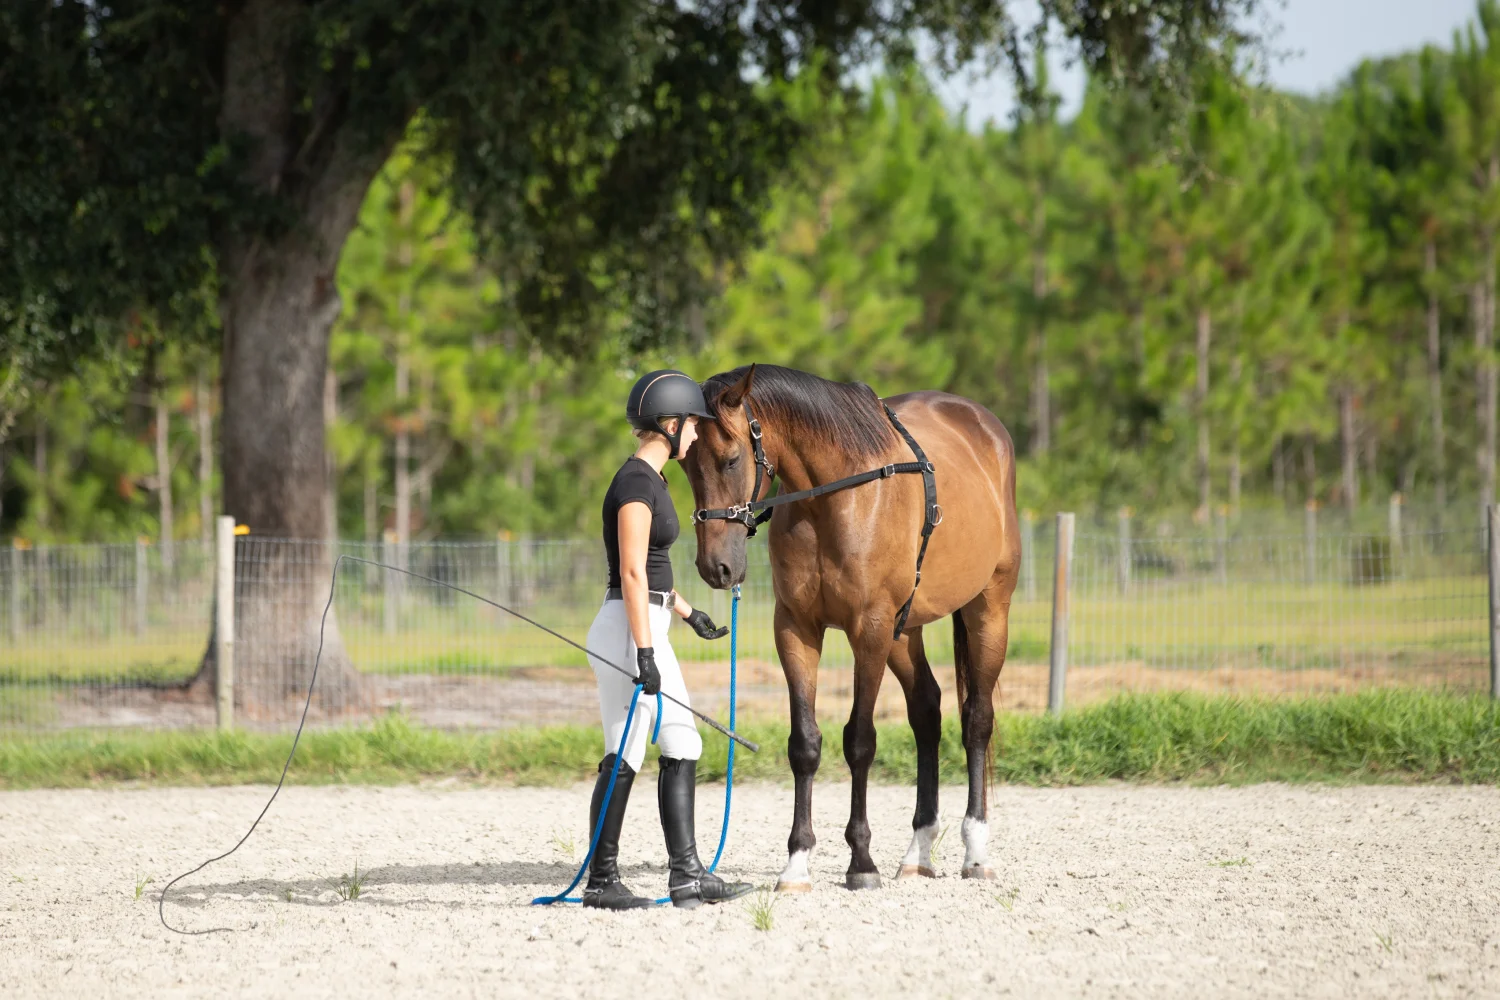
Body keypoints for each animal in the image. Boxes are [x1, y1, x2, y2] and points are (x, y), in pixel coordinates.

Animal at [681, 365, 1020, 893]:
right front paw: (797, 862)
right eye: (684, 465)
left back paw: (976, 851)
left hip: (988, 609)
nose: (716, 567)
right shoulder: (796, 629)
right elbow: (805, 744)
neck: (834, 498)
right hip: (905, 630)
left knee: (977, 721)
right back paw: (918, 851)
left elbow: (860, 742)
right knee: (927, 711)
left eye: (731, 459)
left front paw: (861, 861)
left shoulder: (870, 629)